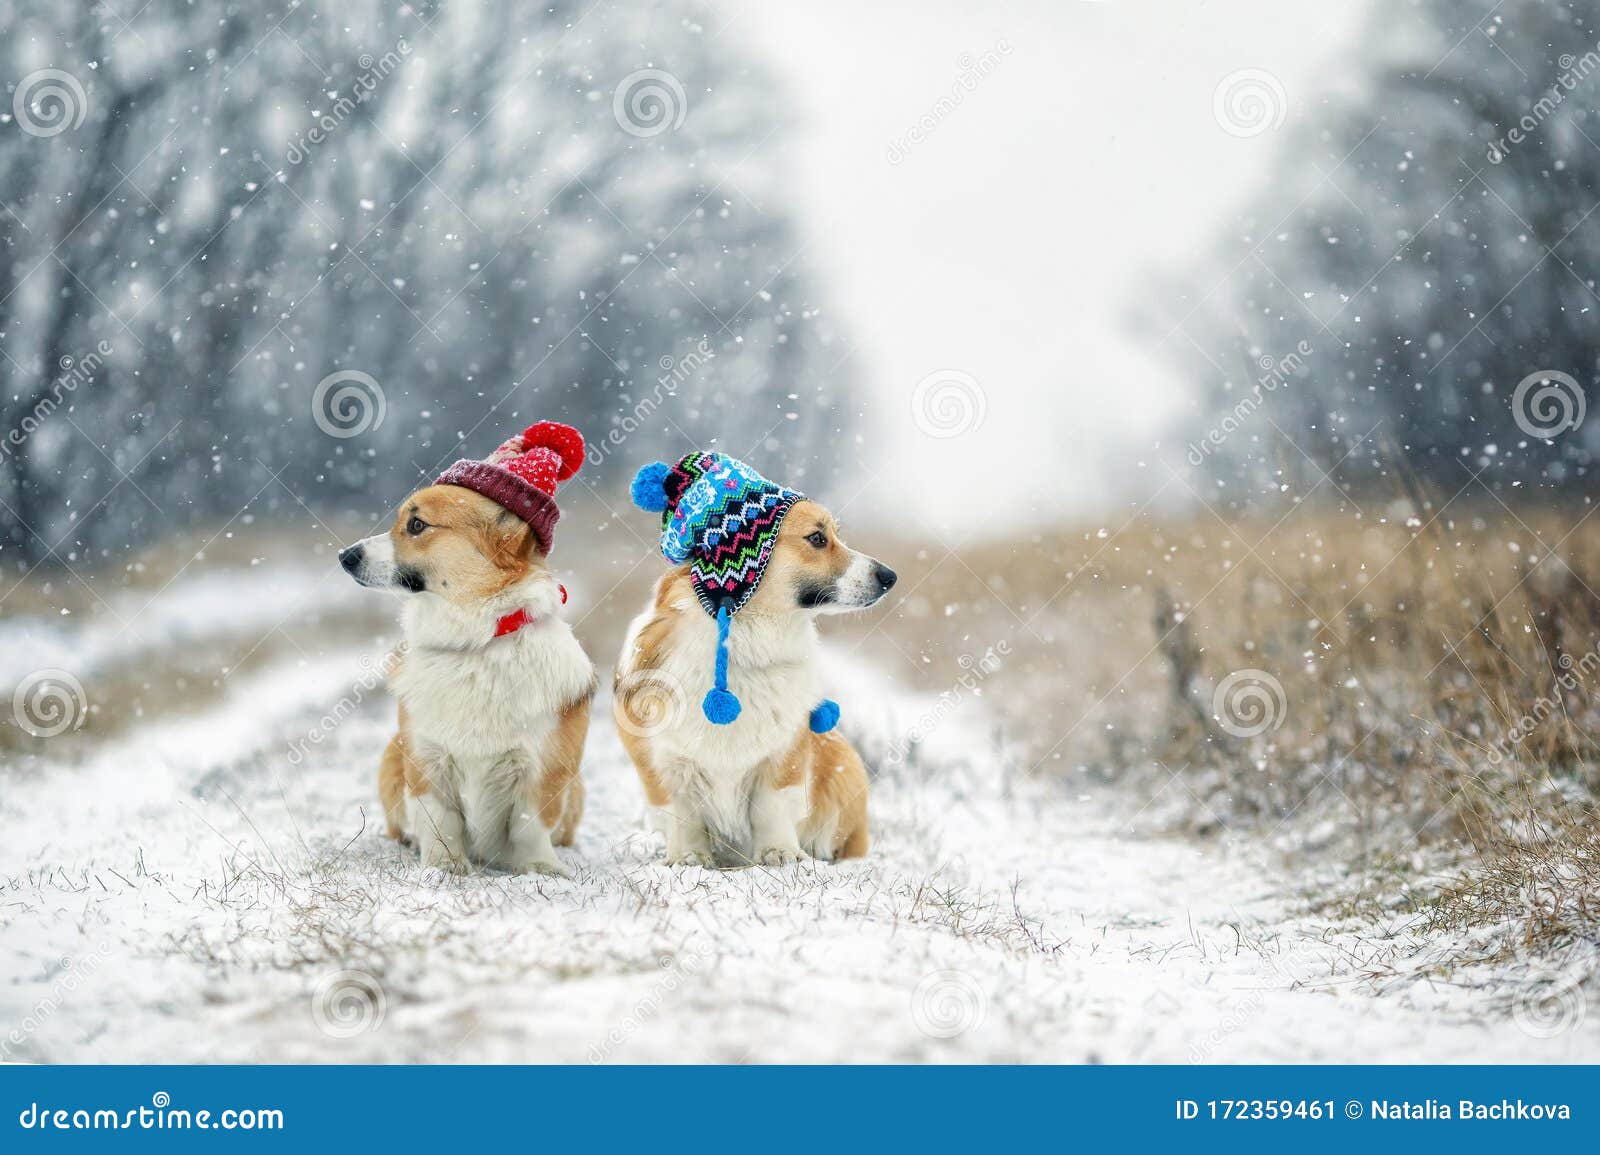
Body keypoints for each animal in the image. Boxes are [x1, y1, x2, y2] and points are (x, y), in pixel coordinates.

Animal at [337, 419, 595, 870]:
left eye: (417, 525)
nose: (344, 556)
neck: (476, 640)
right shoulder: (426, 759)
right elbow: (441, 820)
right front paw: (444, 867)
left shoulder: (542, 770)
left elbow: (529, 826)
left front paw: (541, 870)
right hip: (391, 755)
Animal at [611, 451, 896, 863]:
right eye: (817, 538)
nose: (890, 576)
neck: (740, 647)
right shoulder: (662, 762)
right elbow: (683, 814)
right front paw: (689, 858)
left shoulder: (784, 753)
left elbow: (771, 806)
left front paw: (780, 853)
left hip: (844, 760)